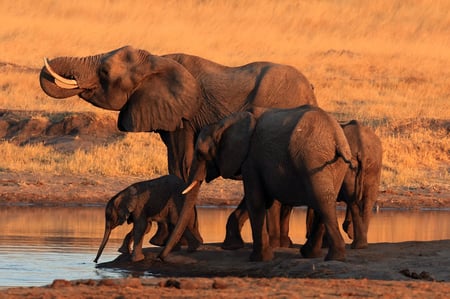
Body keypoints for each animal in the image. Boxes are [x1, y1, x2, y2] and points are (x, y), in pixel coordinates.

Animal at [38, 45, 316, 253]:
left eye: (105, 72)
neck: (154, 60)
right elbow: (175, 164)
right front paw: (165, 240)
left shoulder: (183, 114)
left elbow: (181, 163)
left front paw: (172, 242)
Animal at [163, 106, 356, 262]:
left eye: (200, 154)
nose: (161, 257)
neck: (224, 123)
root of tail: (337, 138)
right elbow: (265, 201)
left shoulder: (251, 160)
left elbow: (255, 200)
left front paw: (258, 259)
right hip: (334, 165)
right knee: (326, 201)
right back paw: (314, 254)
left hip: (312, 160)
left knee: (321, 202)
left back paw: (332, 257)